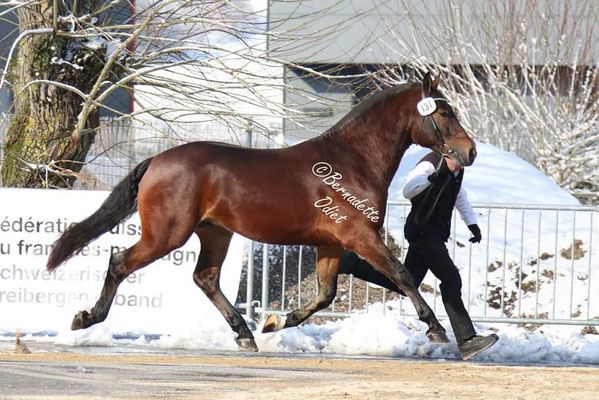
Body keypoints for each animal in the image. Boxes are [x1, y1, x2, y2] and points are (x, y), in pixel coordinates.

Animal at [48, 73, 478, 352]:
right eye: (444, 114)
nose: (470, 151)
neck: (352, 161)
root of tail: (156, 160)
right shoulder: (359, 235)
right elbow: (402, 274)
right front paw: (437, 329)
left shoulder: (332, 243)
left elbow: (326, 294)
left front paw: (276, 321)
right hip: (166, 234)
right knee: (120, 262)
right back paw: (86, 318)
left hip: (215, 232)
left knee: (205, 278)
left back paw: (244, 333)